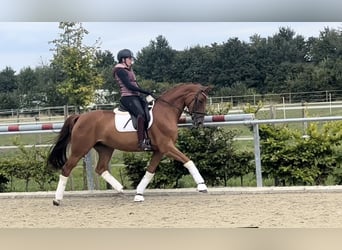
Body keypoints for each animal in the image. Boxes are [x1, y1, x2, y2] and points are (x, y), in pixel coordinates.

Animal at [46, 82, 212, 205]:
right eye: (200, 100)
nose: (199, 122)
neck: (166, 112)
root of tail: (80, 117)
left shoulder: (159, 150)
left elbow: (150, 171)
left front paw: (138, 194)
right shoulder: (167, 147)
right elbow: (188, 161)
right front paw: (202, 185)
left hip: (106, 148)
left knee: (100, 168)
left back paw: (120, 188)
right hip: (80, 149)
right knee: (67, 168)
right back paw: (57, 200)